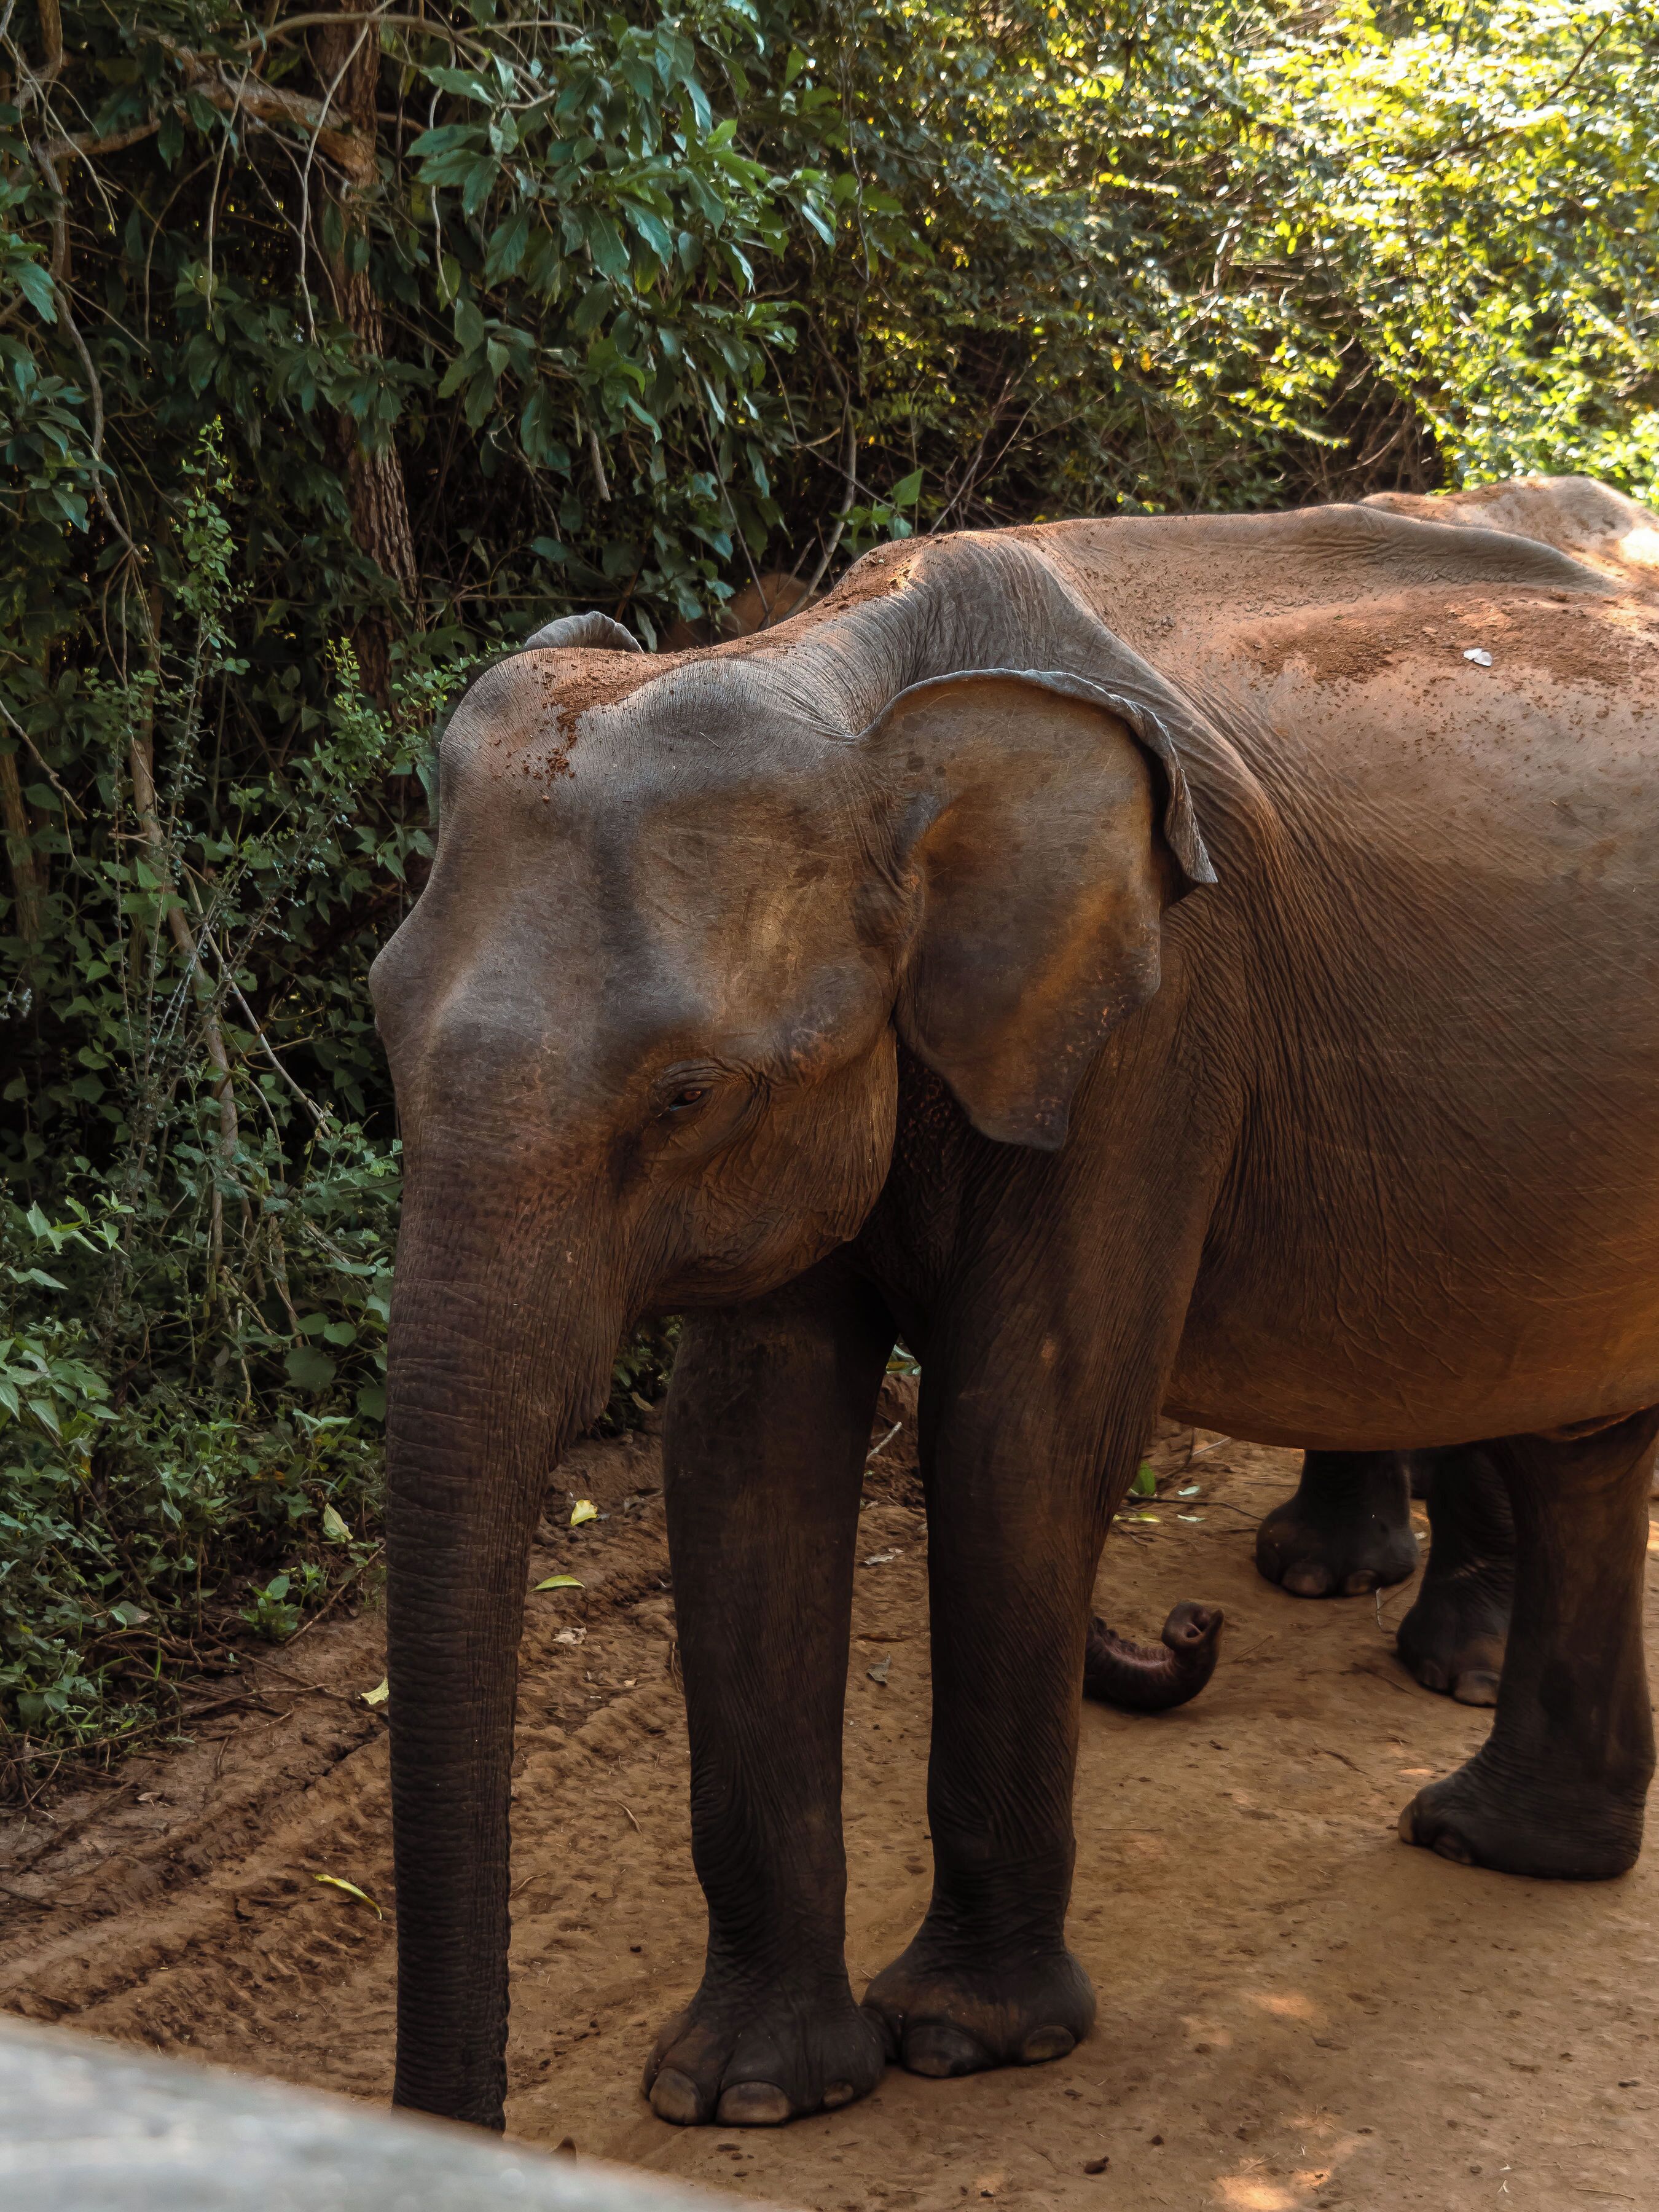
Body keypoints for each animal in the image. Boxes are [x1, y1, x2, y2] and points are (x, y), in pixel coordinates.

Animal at [370, 493, 1659, 2136]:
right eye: (380, 1027)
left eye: (686, 1094)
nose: (1182, 1632)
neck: (857, 681)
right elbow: (744, 1458)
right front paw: (746, 2095)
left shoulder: (1160, 1029)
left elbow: (1019, 1437)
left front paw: (964, 2042)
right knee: (1583, 1446)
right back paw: (1502, 1836)